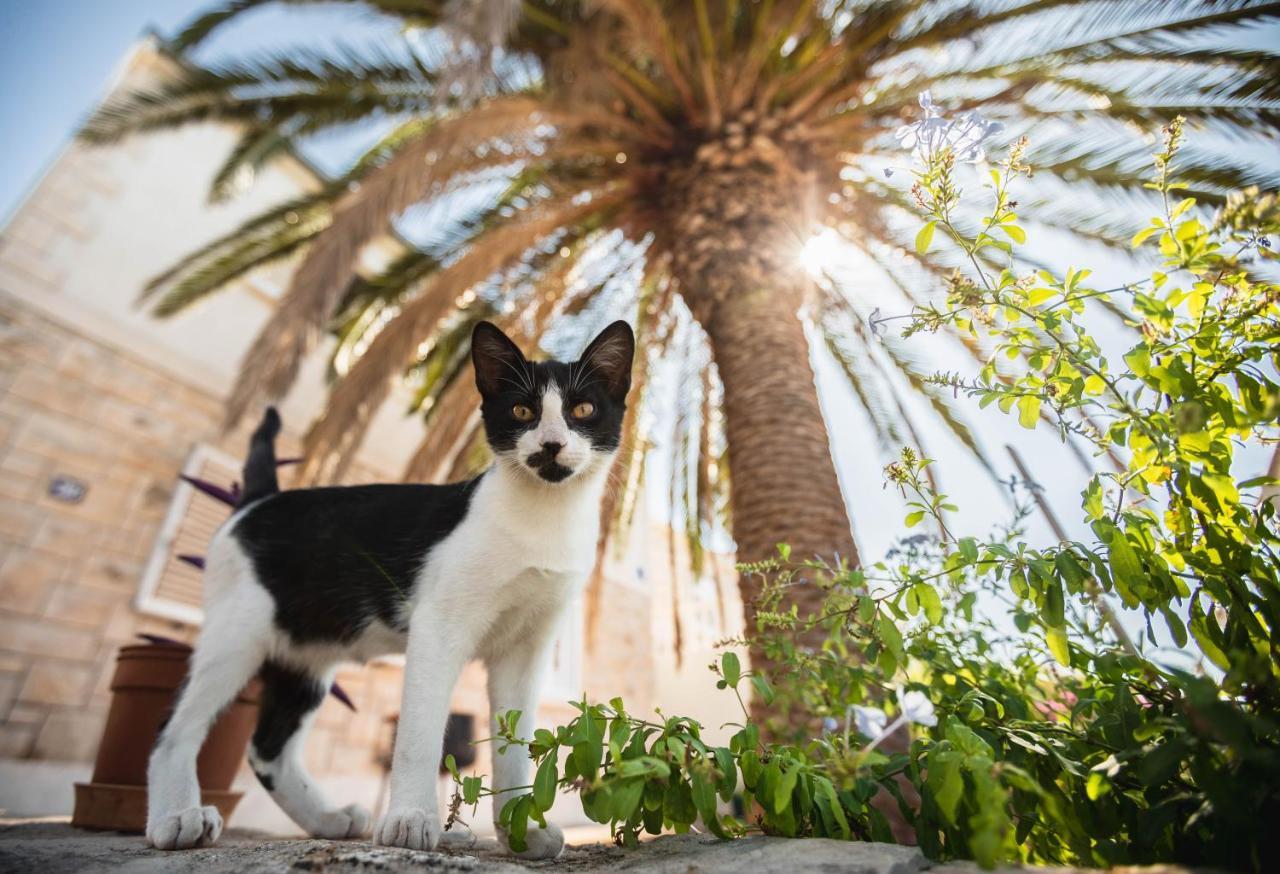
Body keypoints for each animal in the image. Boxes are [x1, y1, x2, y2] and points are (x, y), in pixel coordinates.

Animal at [147, 317, 637, 859]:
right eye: (523, 411)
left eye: (582, 409)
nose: (550, 444)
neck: (541, 519)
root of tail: (258, 499)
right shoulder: (438, 626)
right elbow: (419, 732)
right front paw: (410, 819)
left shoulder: (525, 649)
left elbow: (514, 741)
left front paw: (519, 830)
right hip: (237, 634)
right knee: (173, 728)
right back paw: (177, 817)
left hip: (307, 655)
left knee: (268, 750)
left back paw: (326, 818)